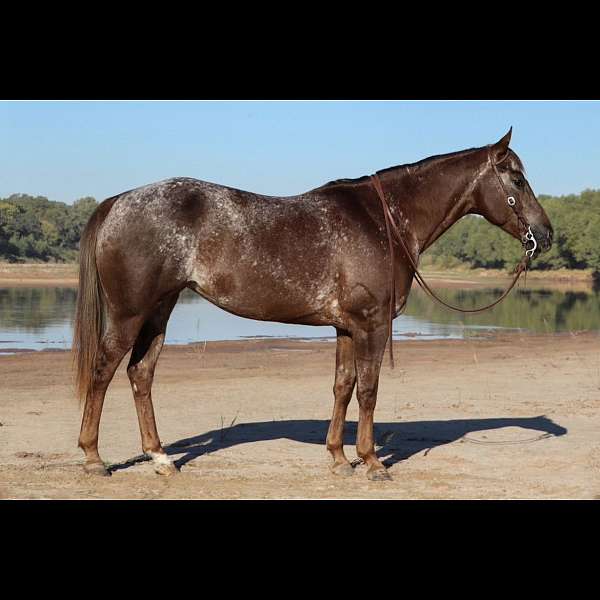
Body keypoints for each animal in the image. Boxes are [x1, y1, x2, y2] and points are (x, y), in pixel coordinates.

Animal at [74, 129, 552, 480]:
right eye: (517, 178)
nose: (545, 235)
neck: (384, 221)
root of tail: (118, 202)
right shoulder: (372, 325)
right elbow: (369, 389)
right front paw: (372, 463)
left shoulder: (346, 327)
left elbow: (343, 386)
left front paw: (339, 459)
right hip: (130, 313)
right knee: (103, 370)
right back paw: (94, 458)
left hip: (160, 309)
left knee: (141, 374)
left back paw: (160, 458)